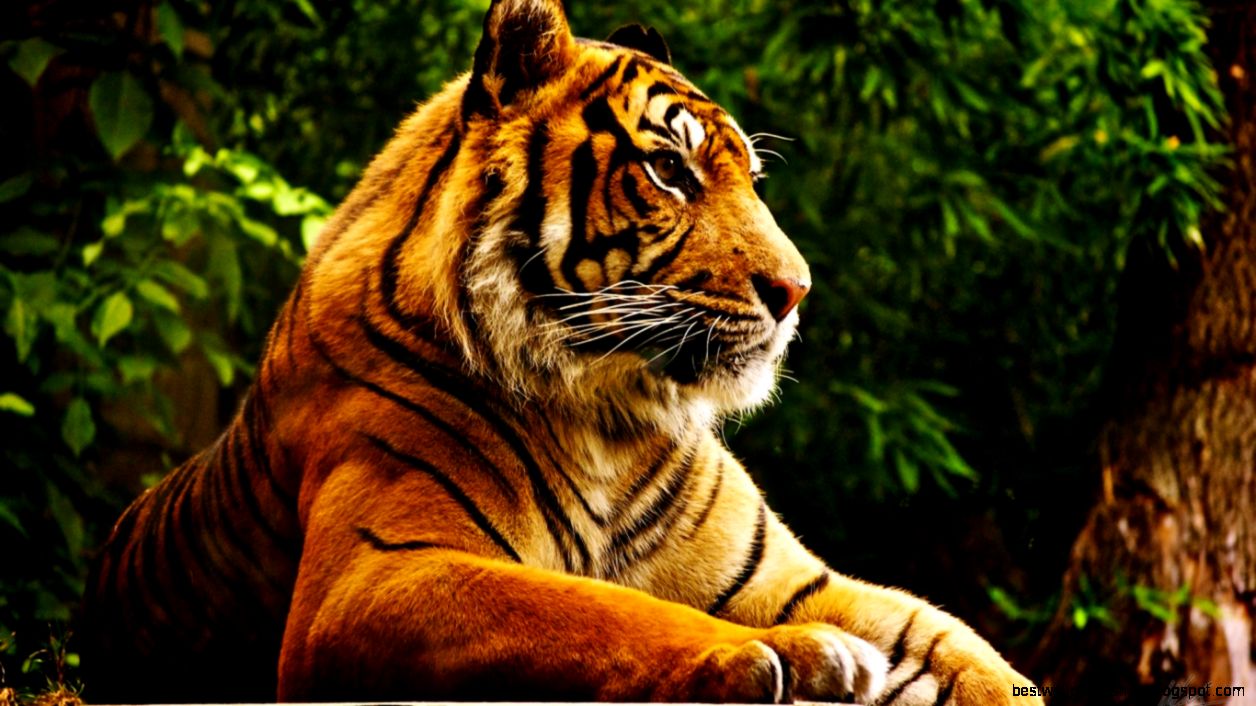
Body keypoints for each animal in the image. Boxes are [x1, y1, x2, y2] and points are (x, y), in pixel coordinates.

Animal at [81, 1, 1044, 704]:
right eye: (669, 171)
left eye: (750, 178)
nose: (796, 290)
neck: (612, 415)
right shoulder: (372, 575)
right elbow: (598, 608)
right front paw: (794, 655)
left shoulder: (795, 576)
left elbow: (965, 649)